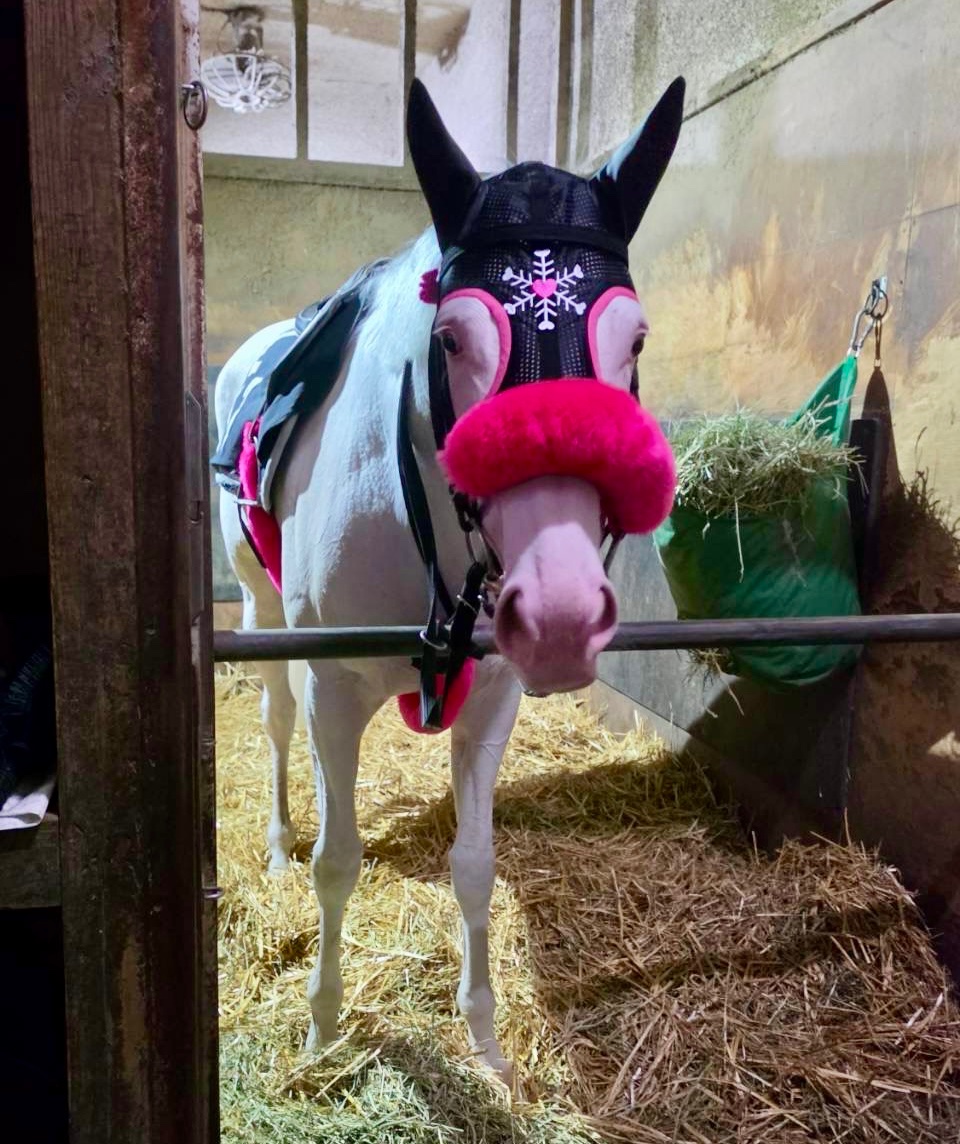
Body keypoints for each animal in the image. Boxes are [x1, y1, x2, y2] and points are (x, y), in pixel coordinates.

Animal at [214, 76, 685, 1080]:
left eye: (634, 337)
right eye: (456, 337)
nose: (559, 611)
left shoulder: (494, 694)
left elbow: (475, 864)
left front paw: (485, 1041)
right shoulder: (336, 691)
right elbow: (338, 860)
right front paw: (322, 1027)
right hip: (260, 604)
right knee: (275, 721)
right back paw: (274, 841)